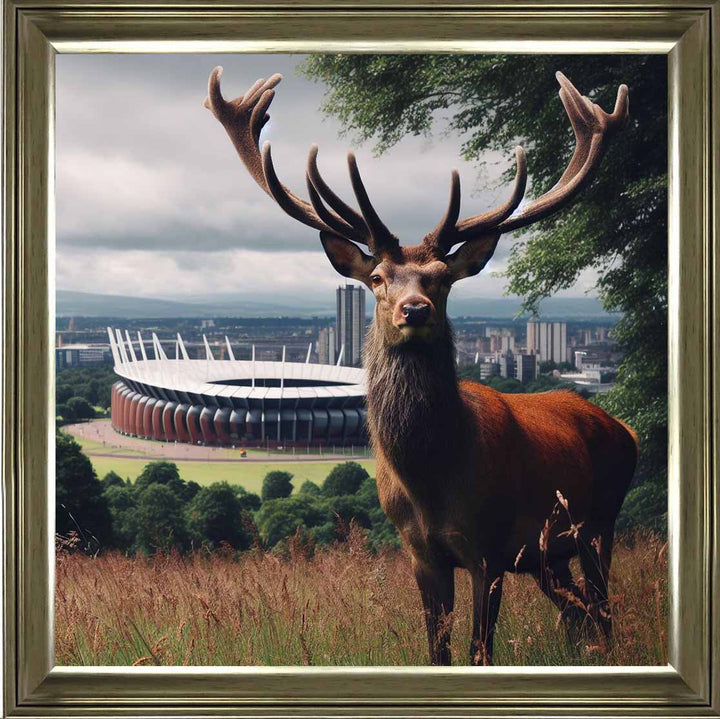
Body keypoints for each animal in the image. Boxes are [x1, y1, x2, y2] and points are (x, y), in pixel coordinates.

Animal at [204, 66, 636, 665]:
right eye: (377, 278)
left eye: (442, 278)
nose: (414, 309)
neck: (435, 479)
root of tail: (625, 429)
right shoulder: (421, 553)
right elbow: (439, 649)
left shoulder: (490, 548)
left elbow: (480, 650)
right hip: (549, 555)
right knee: (577, 613)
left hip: (600, 523)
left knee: (603, 611)